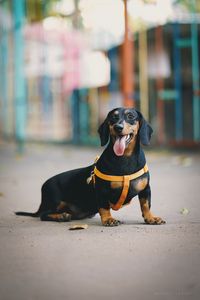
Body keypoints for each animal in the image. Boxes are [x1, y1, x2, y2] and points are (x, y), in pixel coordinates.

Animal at [16, 106, 166, 226]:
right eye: (113, 117)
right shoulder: (102, 190)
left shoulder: (145, 189)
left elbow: (146, 205)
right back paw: (61, 216)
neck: (125, 158)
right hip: (55, 202)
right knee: (44, 215)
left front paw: (151, 218)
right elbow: (104, 207)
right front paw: (108, 219)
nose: (118, 127)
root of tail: (44, 185)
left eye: (131, 116)